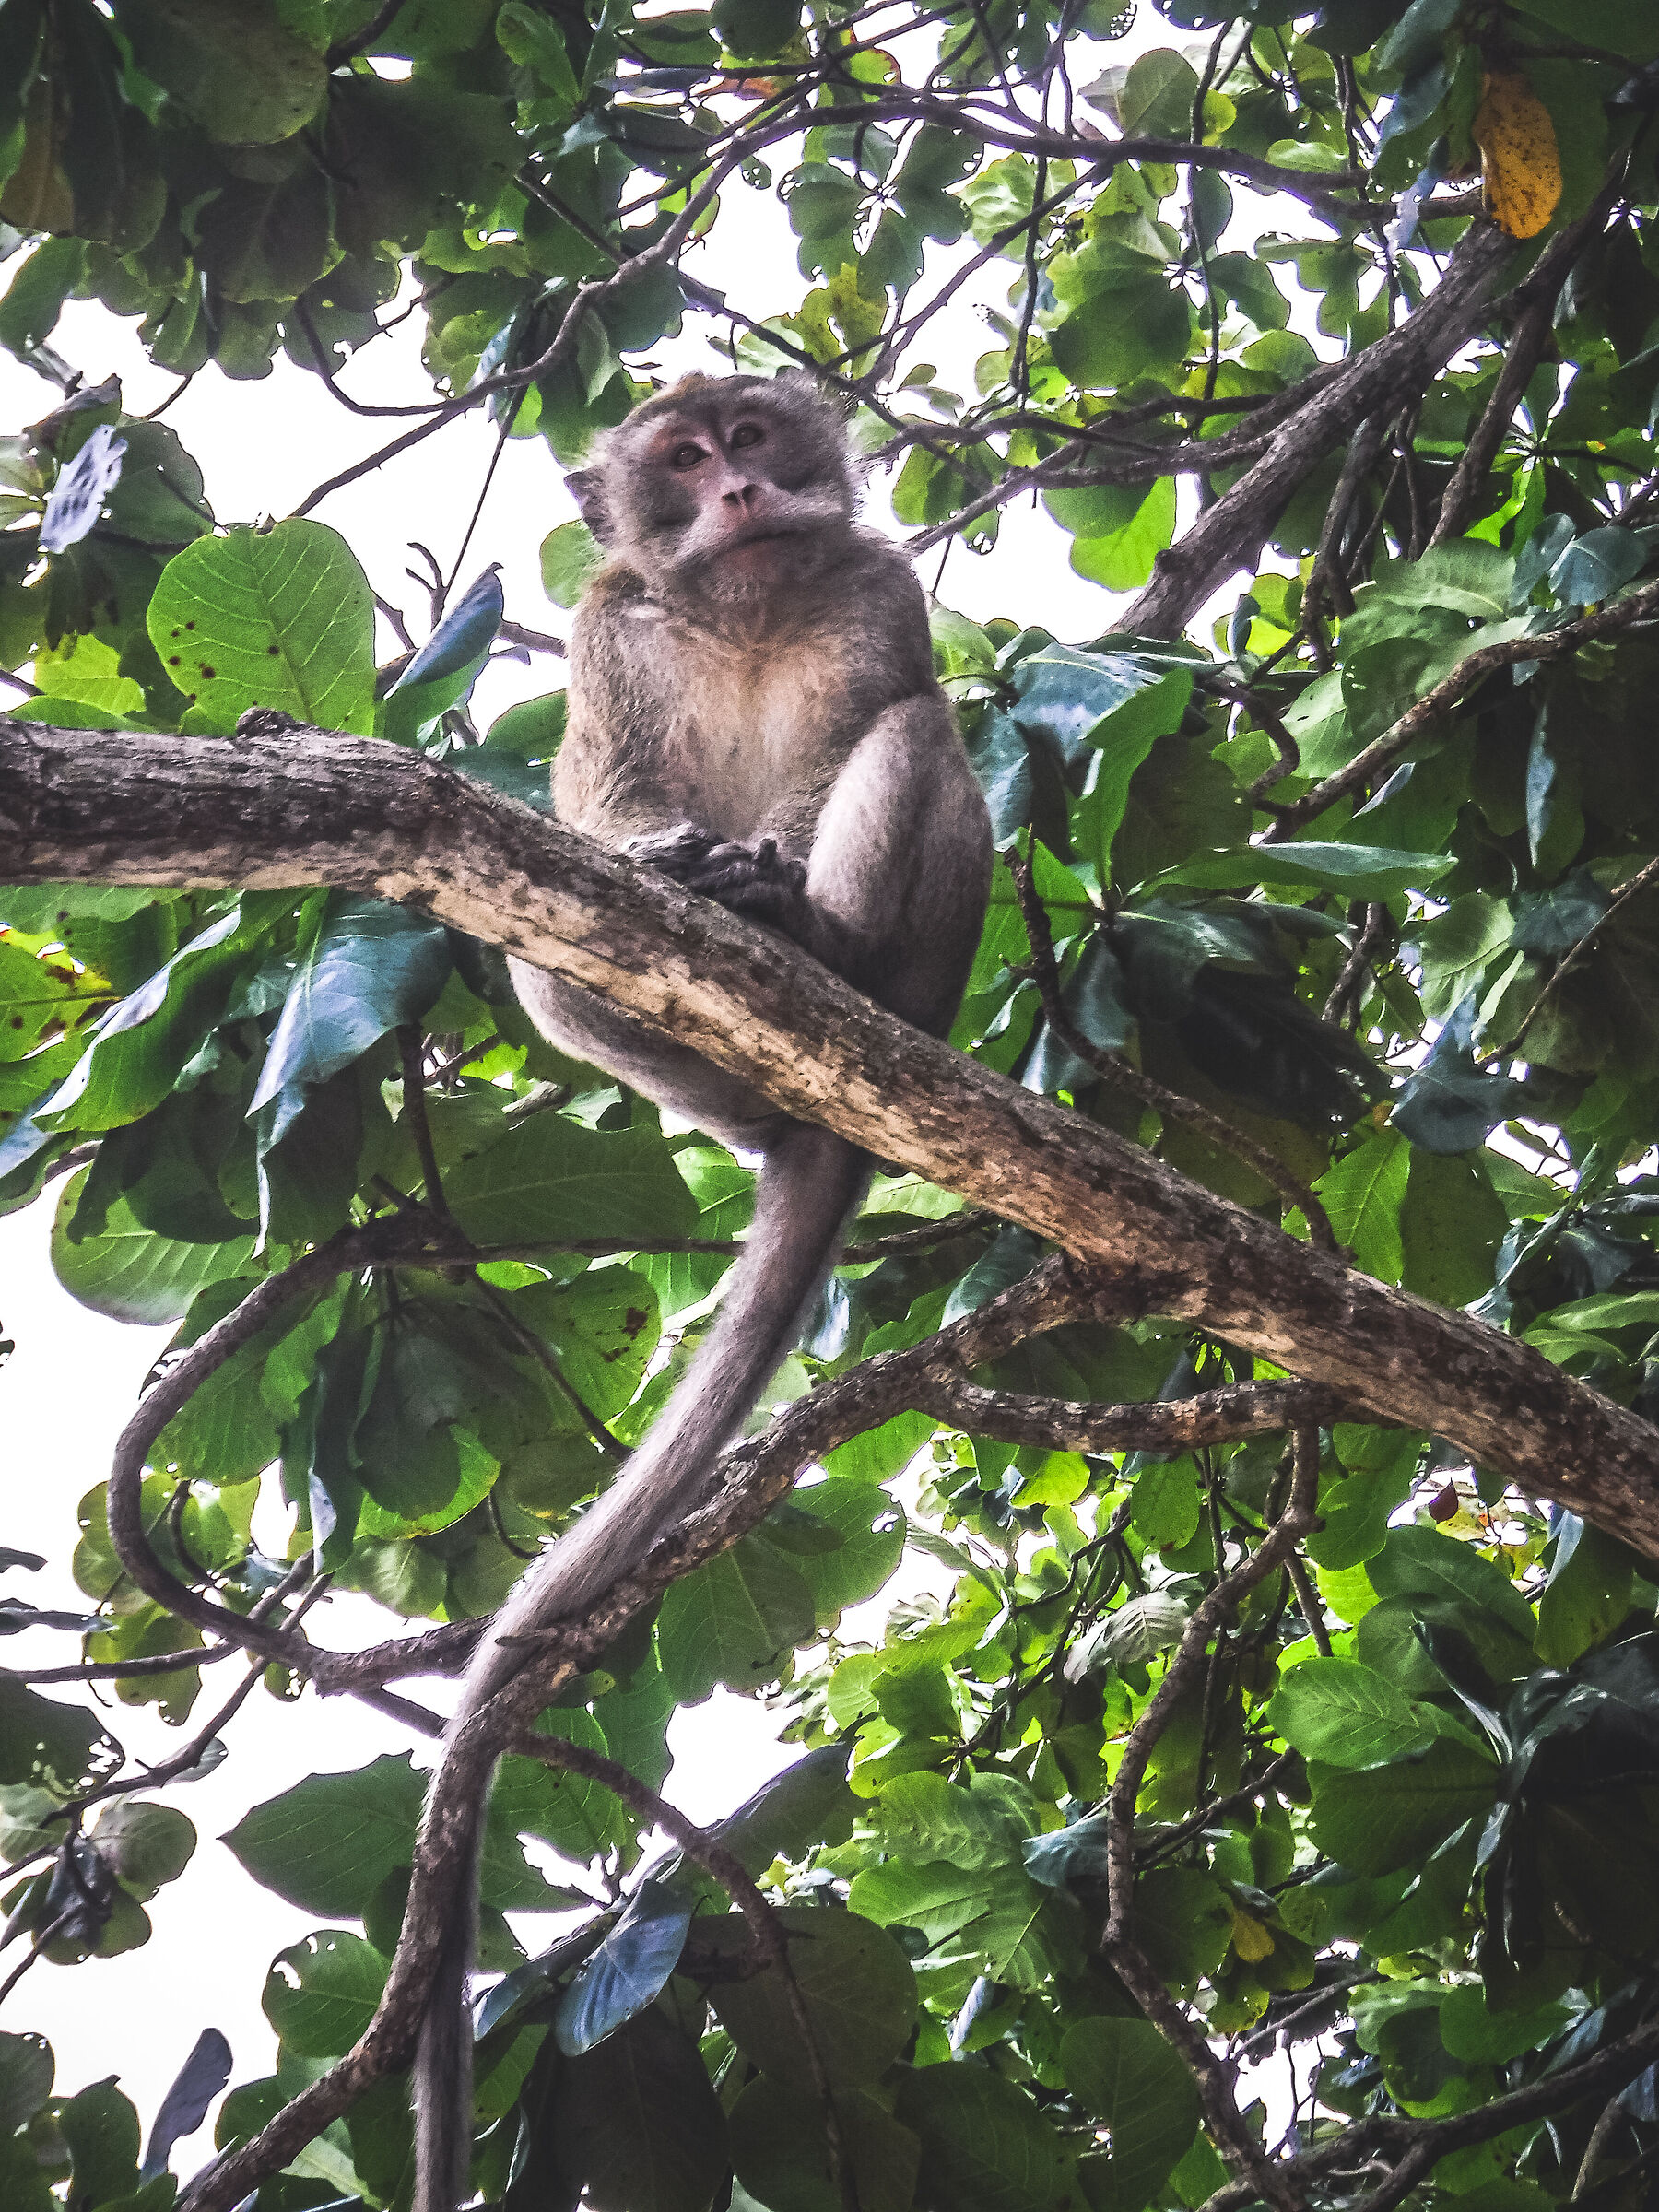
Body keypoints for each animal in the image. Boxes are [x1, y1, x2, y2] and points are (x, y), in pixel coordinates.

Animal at [413, 370, 992, 2211]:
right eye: (679, 459)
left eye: (755, 435)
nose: (737, 486)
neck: (741, 605)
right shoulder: (612, 630)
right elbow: (601, 806)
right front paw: (674, 860)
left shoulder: (871, 586)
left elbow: (871, 716)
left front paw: (774, 878)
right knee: (544, 946)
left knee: (921, 739)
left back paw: (829, 955)